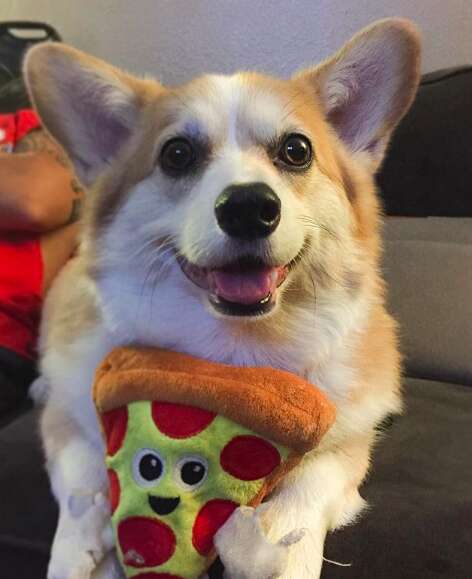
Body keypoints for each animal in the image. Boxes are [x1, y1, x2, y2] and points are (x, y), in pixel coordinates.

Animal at [24, 18, 420, 579]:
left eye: (296, 150)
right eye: (176, 154)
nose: (248, 207)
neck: (229, 353)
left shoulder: (348, 441)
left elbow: (308, 489)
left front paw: (279, 548)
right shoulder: (71, 415)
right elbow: (80, 480)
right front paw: (78, 547)